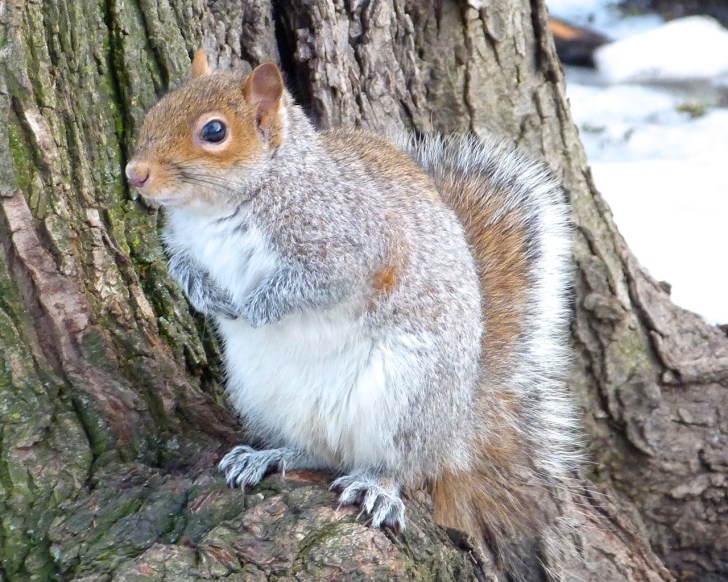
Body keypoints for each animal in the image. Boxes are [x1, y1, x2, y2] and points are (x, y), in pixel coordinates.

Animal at [126, 50, 579, 577]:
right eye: (158, 107)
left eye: (214, 131)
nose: (134, 173)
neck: (219, 208)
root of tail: (457, 431)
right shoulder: (182, 244)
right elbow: (182, 268)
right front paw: (208, 296)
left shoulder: (349, 245)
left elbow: (314, 284)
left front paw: (256, 309)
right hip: (267, 395)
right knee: (316, 453)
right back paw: (268, 455)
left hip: (405, 400)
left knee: (401, 465)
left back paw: (377, 486)